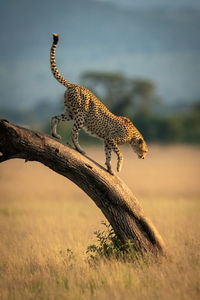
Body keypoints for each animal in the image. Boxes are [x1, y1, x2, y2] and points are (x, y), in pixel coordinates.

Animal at [50, 33, 147, 175]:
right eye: (144, 150)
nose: (144, 157)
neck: (132, 135)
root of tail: (75, 85)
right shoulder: (112, 139)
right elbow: (120, 154)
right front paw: (118, 167)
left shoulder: (107, 141)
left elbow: (108, 155)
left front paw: (109, 168)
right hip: (80, 115)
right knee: (73, 133)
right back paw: (79, 149)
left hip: (71, 112)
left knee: (54, 118)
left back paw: (55, 134)